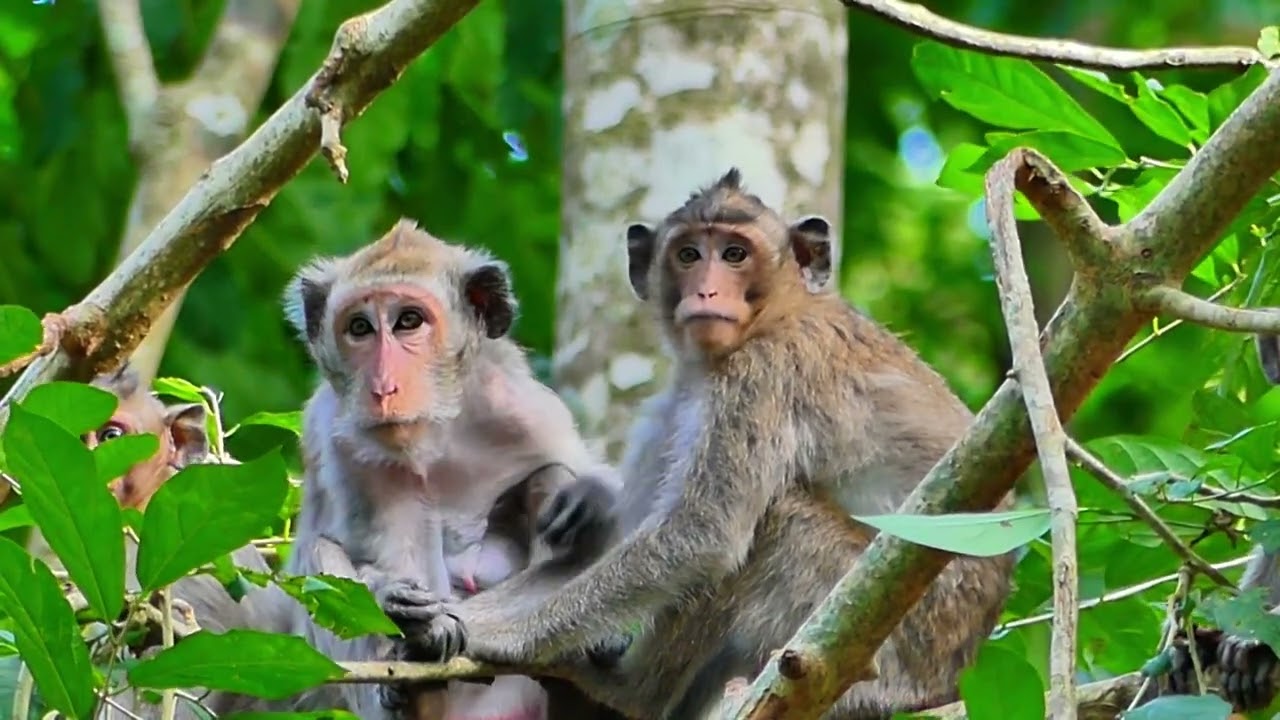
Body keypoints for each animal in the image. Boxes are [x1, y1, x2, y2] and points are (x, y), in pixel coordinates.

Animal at [278, 219, 622, 720]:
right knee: (320, 555)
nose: (383, 388)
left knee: (551, 480)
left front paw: (593, 496)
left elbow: (580, 469)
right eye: (360, 328)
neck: (434, 435)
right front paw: (401, 605)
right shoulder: (339, 441)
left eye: (409, 321)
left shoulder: (521, 407)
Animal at [387, 168, 1018, 719]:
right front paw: (430, 615)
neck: (776, 314)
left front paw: (496, 634)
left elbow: (702, 535)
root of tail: (952, 678)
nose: (708, 290)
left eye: (735, 253)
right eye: (688, 254)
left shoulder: (761, 376)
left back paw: (633, 692)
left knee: (774, 524)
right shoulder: (678, 404)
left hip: (888, 638)